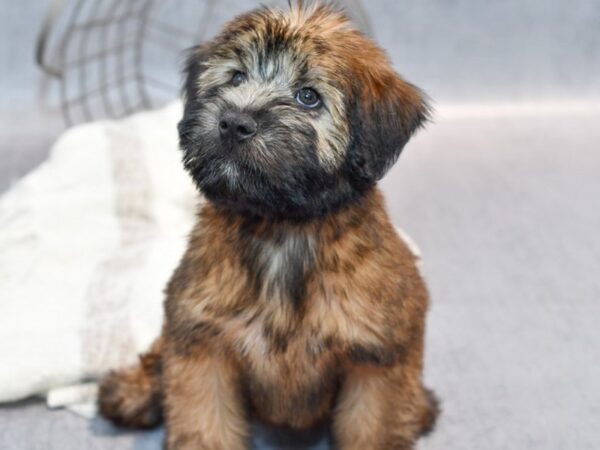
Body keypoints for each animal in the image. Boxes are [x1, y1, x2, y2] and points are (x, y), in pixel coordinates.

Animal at [97, 3, 436, 450]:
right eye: (236, 77)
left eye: (308, 96)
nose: (234, 122)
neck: (281, 230)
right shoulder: (202, 341)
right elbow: (204, 424)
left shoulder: (377, 361)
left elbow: (372, 427)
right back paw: (135, 389)